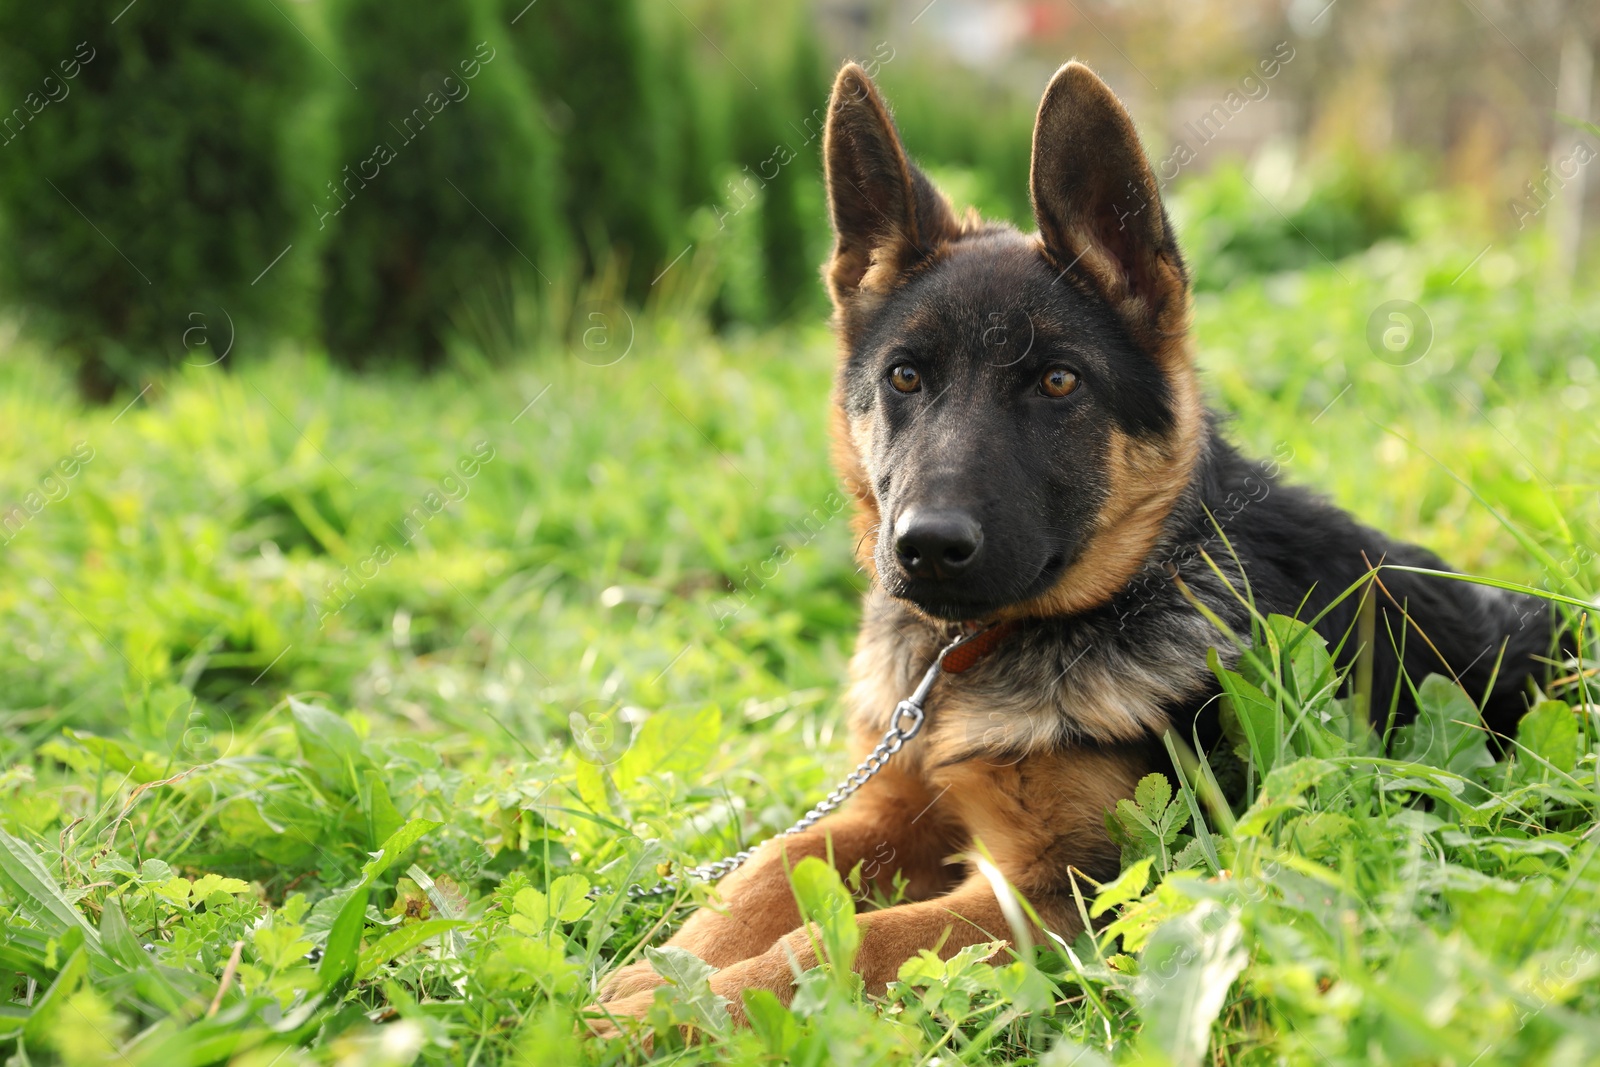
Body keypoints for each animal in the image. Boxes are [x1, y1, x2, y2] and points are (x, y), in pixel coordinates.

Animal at [595, 58, 1555, 1023]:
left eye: (1057, 382)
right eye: (904, 377)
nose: (926, 547)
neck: (970, 660)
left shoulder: (1063, 888)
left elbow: (844, 939)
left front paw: (661, 1012)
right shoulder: (890, 808)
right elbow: (767, 868)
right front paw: (661, 971)